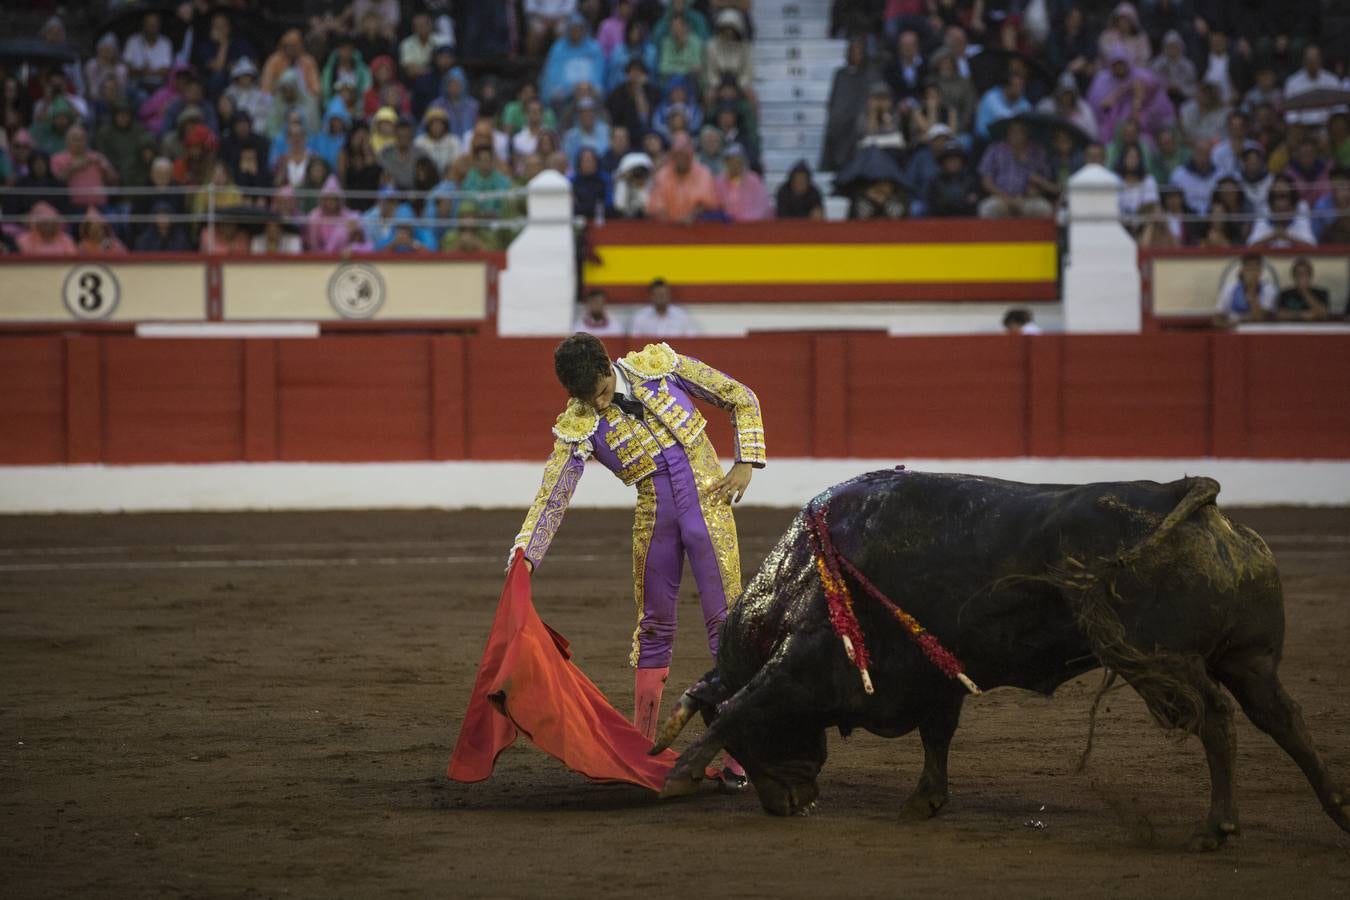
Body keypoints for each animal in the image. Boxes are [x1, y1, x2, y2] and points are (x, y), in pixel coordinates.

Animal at [653, 469, 1350, 847]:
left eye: (753, 747)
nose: (786, 805)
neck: (801, 575)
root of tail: (1190, 496)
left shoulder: (804, 662)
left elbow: (742, 704)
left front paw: (678, 774)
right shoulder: (933, 681)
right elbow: (938, 737)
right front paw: (925, 801)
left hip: (1164, 662)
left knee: (1217, 721)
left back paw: (1217, 828)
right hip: (1250, 660)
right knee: (1285, 721)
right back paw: (1339, 811)